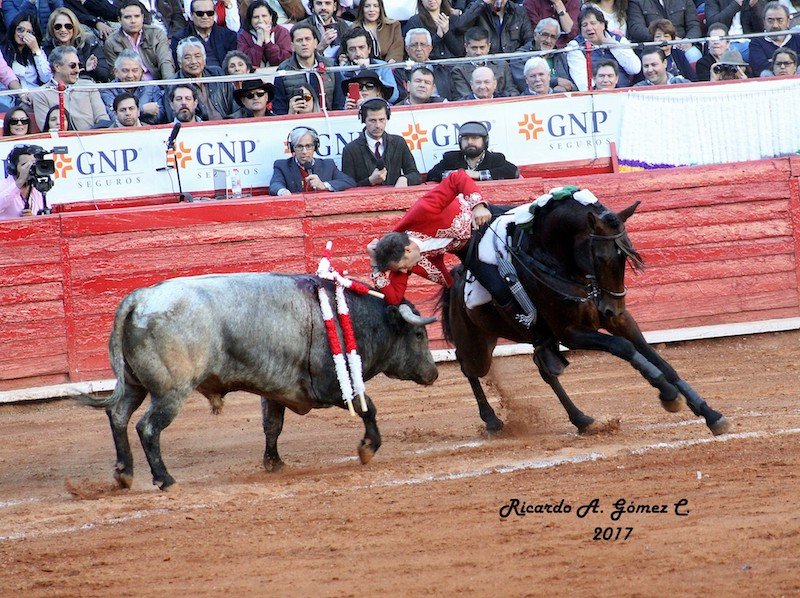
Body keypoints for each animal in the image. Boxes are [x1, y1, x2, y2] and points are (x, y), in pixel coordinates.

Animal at [80, 273, 439, 491]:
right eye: (419, 334)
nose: (433, 373)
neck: (344, 314)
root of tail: (140, 299)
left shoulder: (275, 390)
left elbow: (272, 426)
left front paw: (274, 463)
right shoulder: (335, 386)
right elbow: (368, 408)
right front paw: (368, 448)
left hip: (134, 385)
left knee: (118, 415)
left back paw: (124, 473)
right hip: (170, 392)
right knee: (148, 428)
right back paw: (165, 479)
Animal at [440, 193, 731, 437]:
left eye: (627, 254)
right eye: (601, 257)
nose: (612, 306)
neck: (552, 260)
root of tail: (455, 280)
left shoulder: (619, 321)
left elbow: (659, 360)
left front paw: (711, 414)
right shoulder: (571, 333)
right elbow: (624, 347)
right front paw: (669, 395)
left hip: (537, 340)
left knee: (545, 371)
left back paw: (582, 420)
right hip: (476, 344)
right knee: (468, 366)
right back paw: (492, 420)